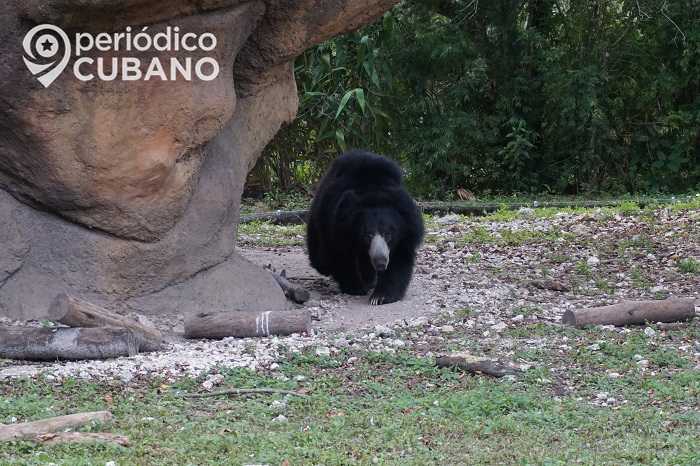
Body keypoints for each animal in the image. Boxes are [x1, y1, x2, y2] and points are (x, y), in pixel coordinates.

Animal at [306, 149, 424, 305]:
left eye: (388, 234)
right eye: (366, 235)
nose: (381, 262)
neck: (373, 191)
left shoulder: (406, 232)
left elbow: (399, 260)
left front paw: (379, 296)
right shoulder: (334, 221)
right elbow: (340, 254)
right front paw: (356, 287)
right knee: (319, 254)